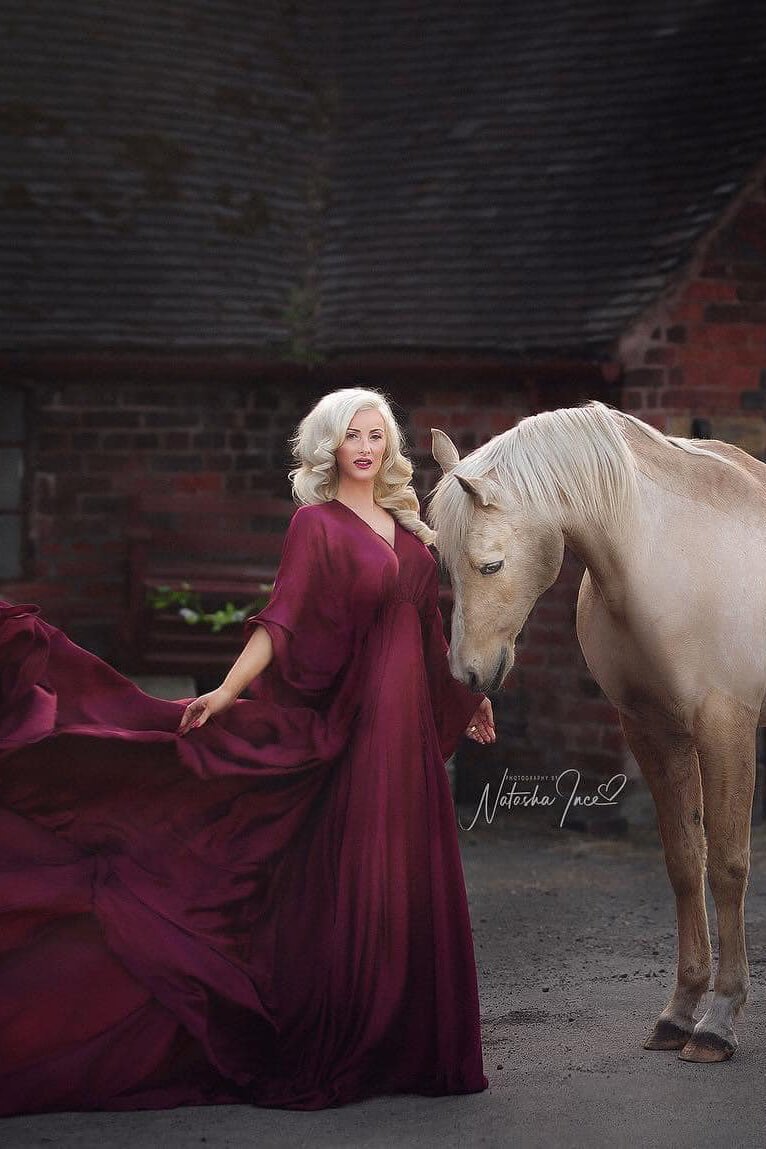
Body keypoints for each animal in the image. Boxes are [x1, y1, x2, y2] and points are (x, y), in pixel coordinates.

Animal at [431, 399, 766, 1061]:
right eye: (444, 565)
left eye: (491, 564)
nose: (469, 673)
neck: (672, 559)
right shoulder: (651, 732)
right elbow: (685, 861)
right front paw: (679, 1012)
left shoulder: (727, 729)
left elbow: (728, 866)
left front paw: (718, 1020)